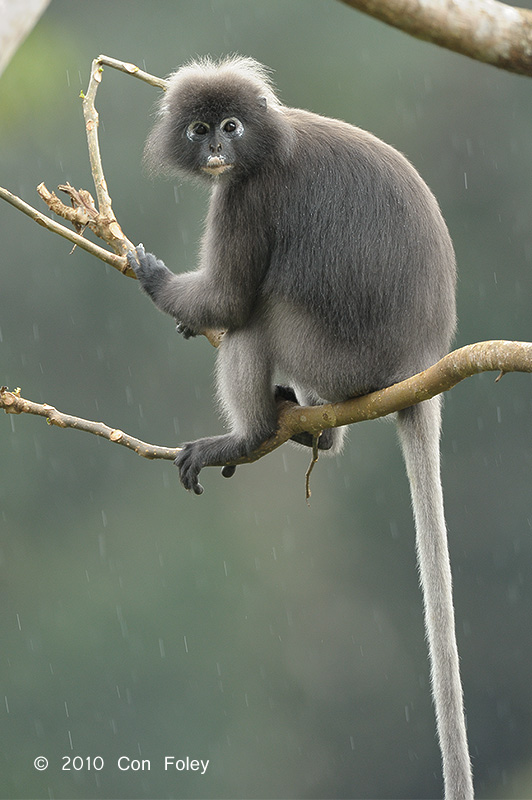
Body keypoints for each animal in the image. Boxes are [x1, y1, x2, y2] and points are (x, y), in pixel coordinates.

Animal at [128, 57, 474, 800]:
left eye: (231, 126)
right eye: (200, 129)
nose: (217, 150)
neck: (267, 144)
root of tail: (420, 362)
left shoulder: (246, 197)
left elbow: (229, 301)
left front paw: (161, 282)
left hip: (330, 352)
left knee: (255, 317)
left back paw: (252, 433)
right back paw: (312, 429)